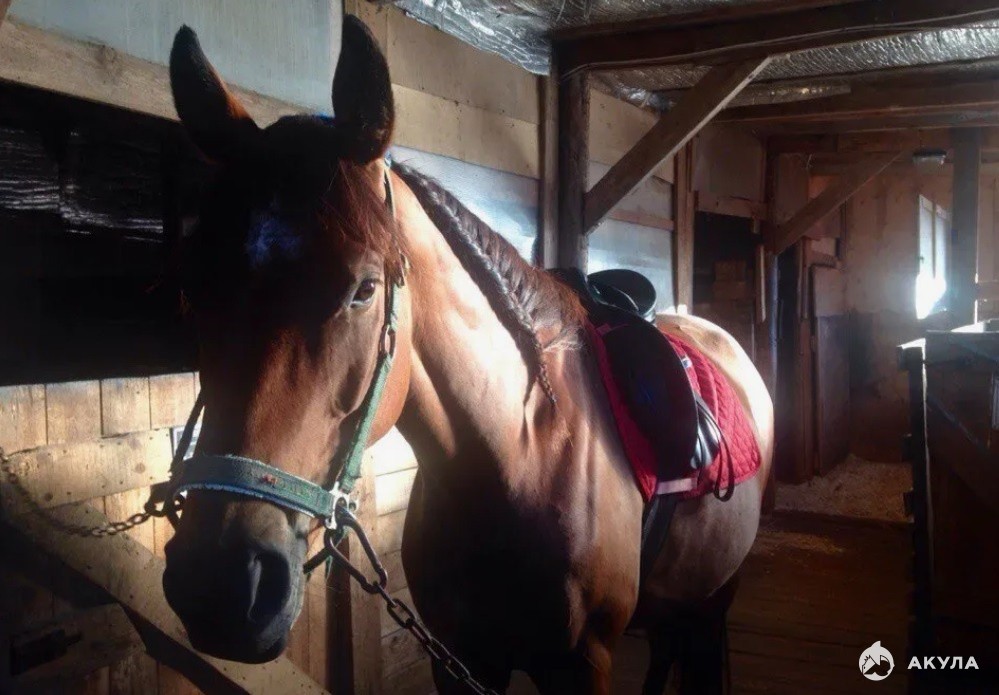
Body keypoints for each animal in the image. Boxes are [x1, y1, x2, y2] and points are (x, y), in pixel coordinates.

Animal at [161, 15, 774, 694]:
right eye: (192, 285)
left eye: (364, 289)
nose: (221, 586)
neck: (521, 458)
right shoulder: (458, 656)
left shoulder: (582, 664)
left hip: (713, 594)